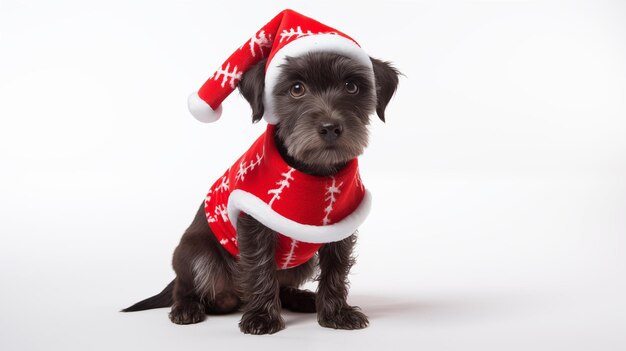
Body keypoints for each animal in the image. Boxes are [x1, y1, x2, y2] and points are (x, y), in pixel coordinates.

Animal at [120, 52, 398, 336]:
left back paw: (302, 298)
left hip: (301, 263)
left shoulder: (340, 225)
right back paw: (186, 307)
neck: (315, 172)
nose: (330, 127)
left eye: (351, 86)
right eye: (297, 89)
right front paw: (262, 317)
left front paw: (336, 313)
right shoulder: (254, 225)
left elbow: (336, 269)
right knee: (185, 287)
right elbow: (259, 269)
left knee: (282, 287)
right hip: (196, 253)